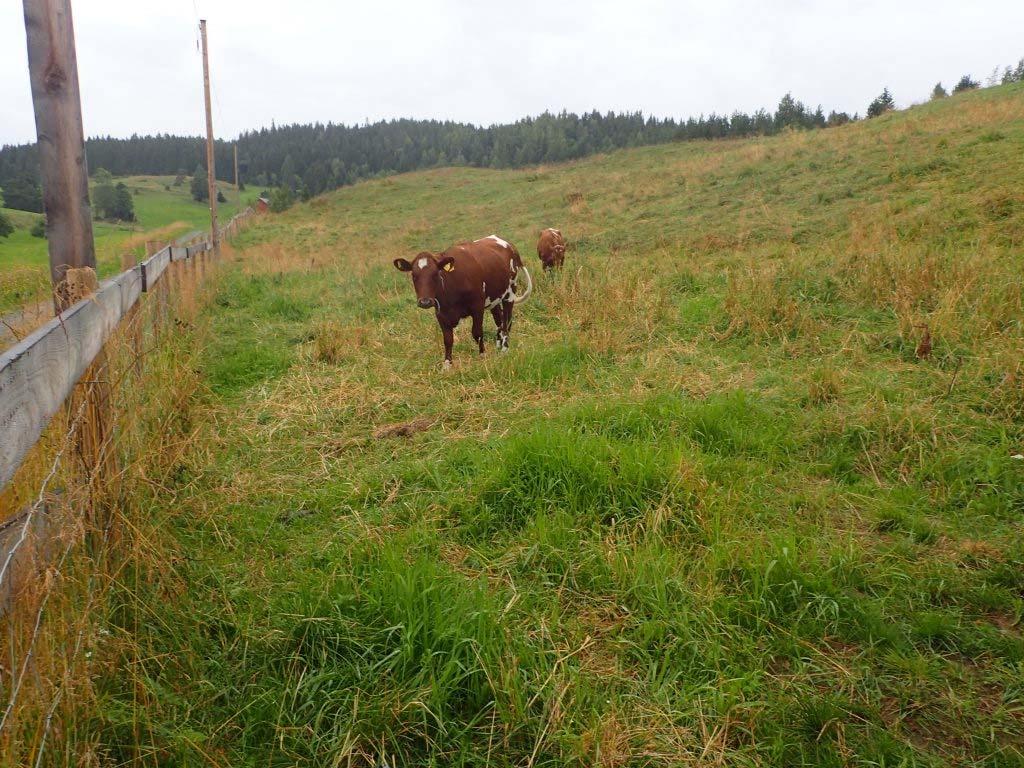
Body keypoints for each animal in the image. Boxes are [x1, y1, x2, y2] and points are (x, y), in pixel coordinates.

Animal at [393, 234, 532, 370]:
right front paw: (447, 365)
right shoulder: (441, 314)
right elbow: (448, 339)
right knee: (499, 320)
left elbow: (477, 333)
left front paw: (483, 356)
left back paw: (504, 348)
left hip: (510, 293)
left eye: (435, 274)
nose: (425, 302)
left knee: (507, 321)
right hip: (495, 299)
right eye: (414, 276)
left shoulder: (477, 307)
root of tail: (508, 244)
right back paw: (499, 345)